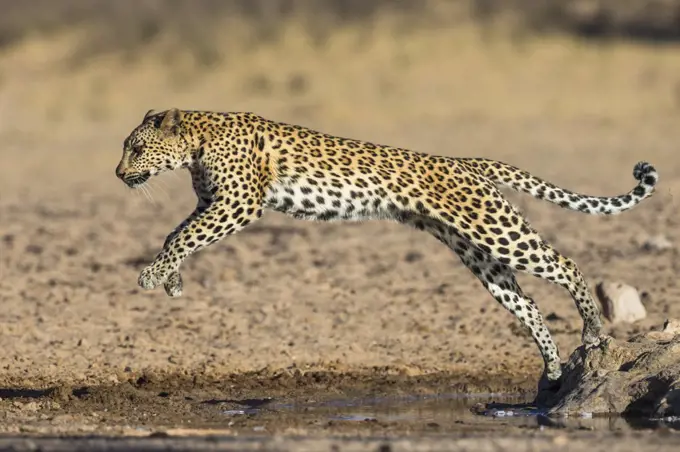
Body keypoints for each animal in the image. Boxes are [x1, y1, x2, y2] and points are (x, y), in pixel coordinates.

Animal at [117, 107, 660, 386]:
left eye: (136, 147)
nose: (119, 175)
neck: (195, 143)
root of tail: (467, 162)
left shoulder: (239, 203)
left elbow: (183, 235)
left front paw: (152, 276)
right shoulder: (214, 204)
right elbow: (176, 234)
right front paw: (171, 280)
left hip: (497, 231)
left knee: (565, 262)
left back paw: (593, 329)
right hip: (477, 253)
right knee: (525, 302)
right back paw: (550, 367)